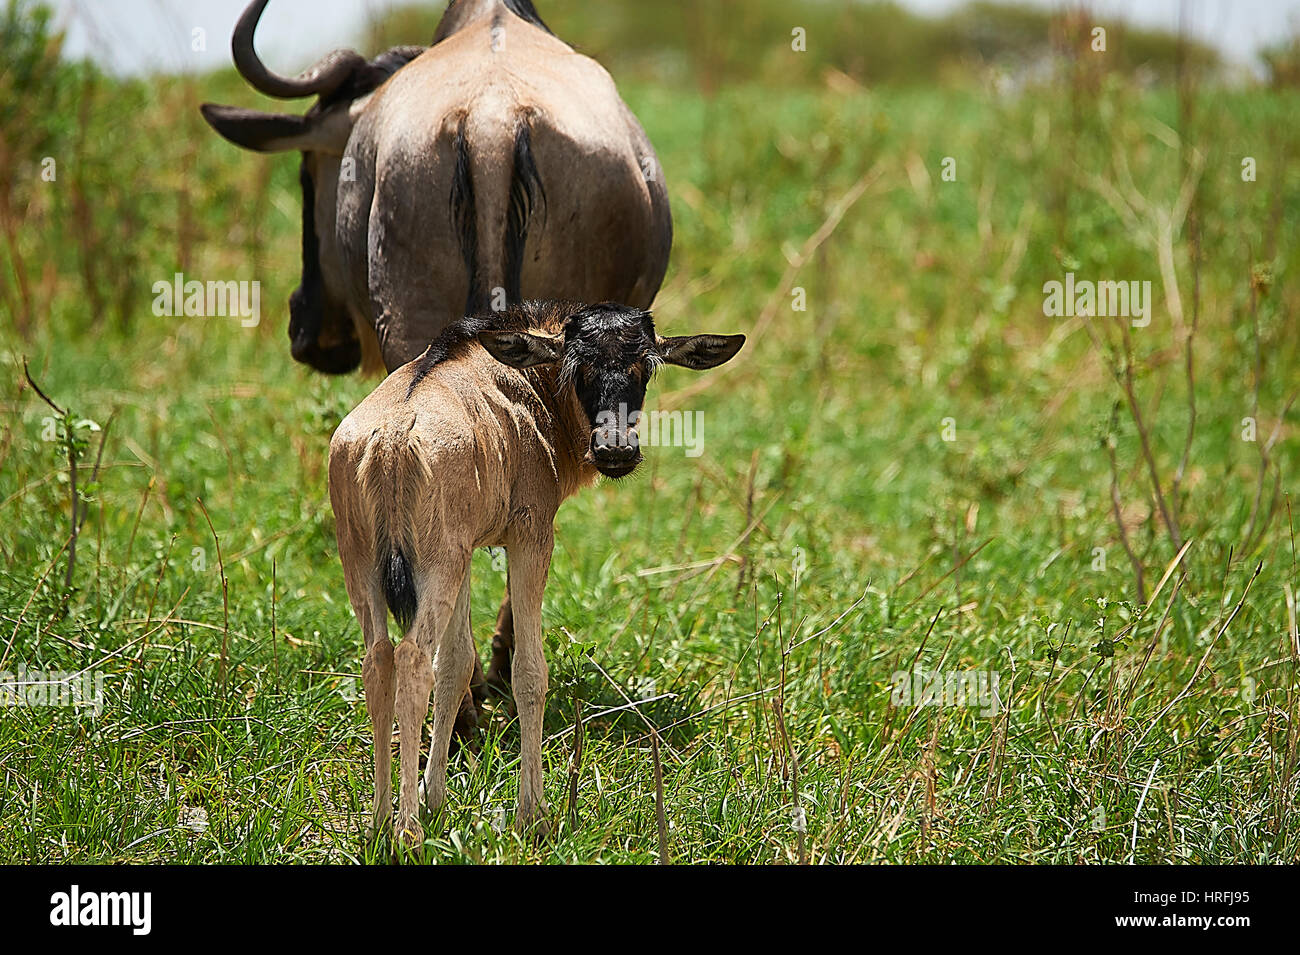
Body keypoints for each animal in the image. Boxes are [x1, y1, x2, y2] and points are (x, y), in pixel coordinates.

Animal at [328, 301, 743, 842]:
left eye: (644, 367)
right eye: (578, 368)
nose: (615, 451)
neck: (529, 386)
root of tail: (391, 441)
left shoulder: (467, 550)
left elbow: (457, 664)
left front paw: (436, 800)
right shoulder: (530, 536)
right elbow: (528, 671)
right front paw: (534, 816)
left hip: (369, 565)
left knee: (379, 662)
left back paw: (381, 823)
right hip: (433, 566)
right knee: (412, 662)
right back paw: (408, 833)